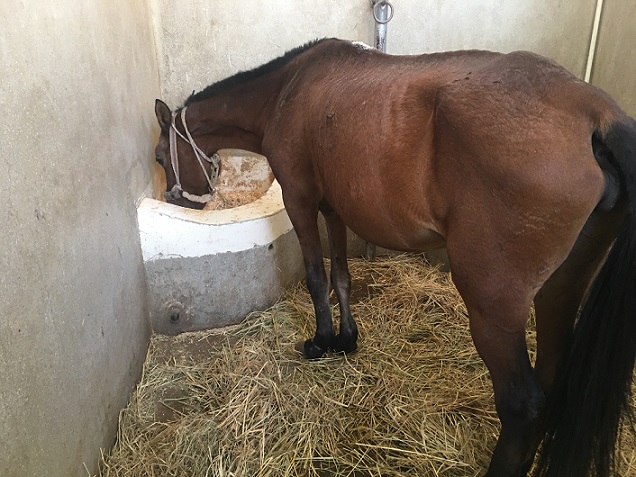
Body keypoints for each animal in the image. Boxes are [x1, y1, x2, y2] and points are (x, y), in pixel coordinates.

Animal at [154, 38, 636, 476]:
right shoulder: (334, 209)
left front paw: (321, 341)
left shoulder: (300, 201)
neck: (287, 90)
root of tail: (594, 114)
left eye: (160, 155)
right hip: (558, 293)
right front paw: (345, 339)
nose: (175, 199)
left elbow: (316, 277)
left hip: (494, 310)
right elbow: (341, 277)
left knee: (522, 406)